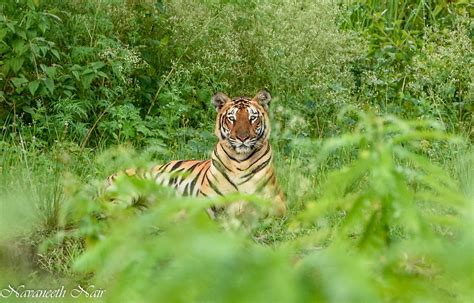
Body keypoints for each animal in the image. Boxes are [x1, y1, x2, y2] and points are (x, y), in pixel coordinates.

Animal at [104, 90, 286, 218]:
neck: (240, 161)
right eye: (232, 118)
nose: (242, 138)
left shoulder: (278, 202)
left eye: (252, 118)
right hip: (128, 192)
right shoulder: (206, 200)